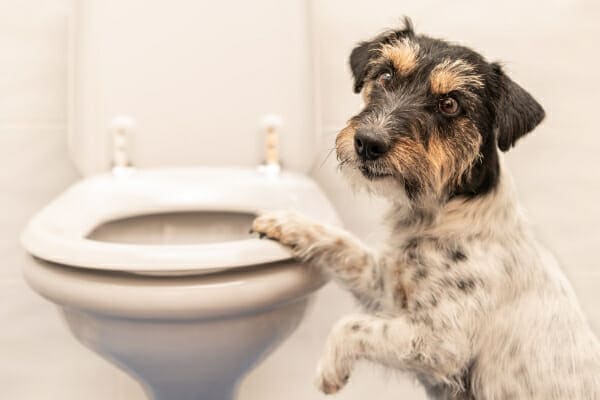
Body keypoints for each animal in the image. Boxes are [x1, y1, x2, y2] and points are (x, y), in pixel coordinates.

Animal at [251, 18, 600, 400]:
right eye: (386, 75)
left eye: (449, 104)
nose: (367, 142)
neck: (442, 216)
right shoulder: (386, 286)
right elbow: (345, 245)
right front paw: (287, 222)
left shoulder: (439, 342)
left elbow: (351, 326)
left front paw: (330, 368)